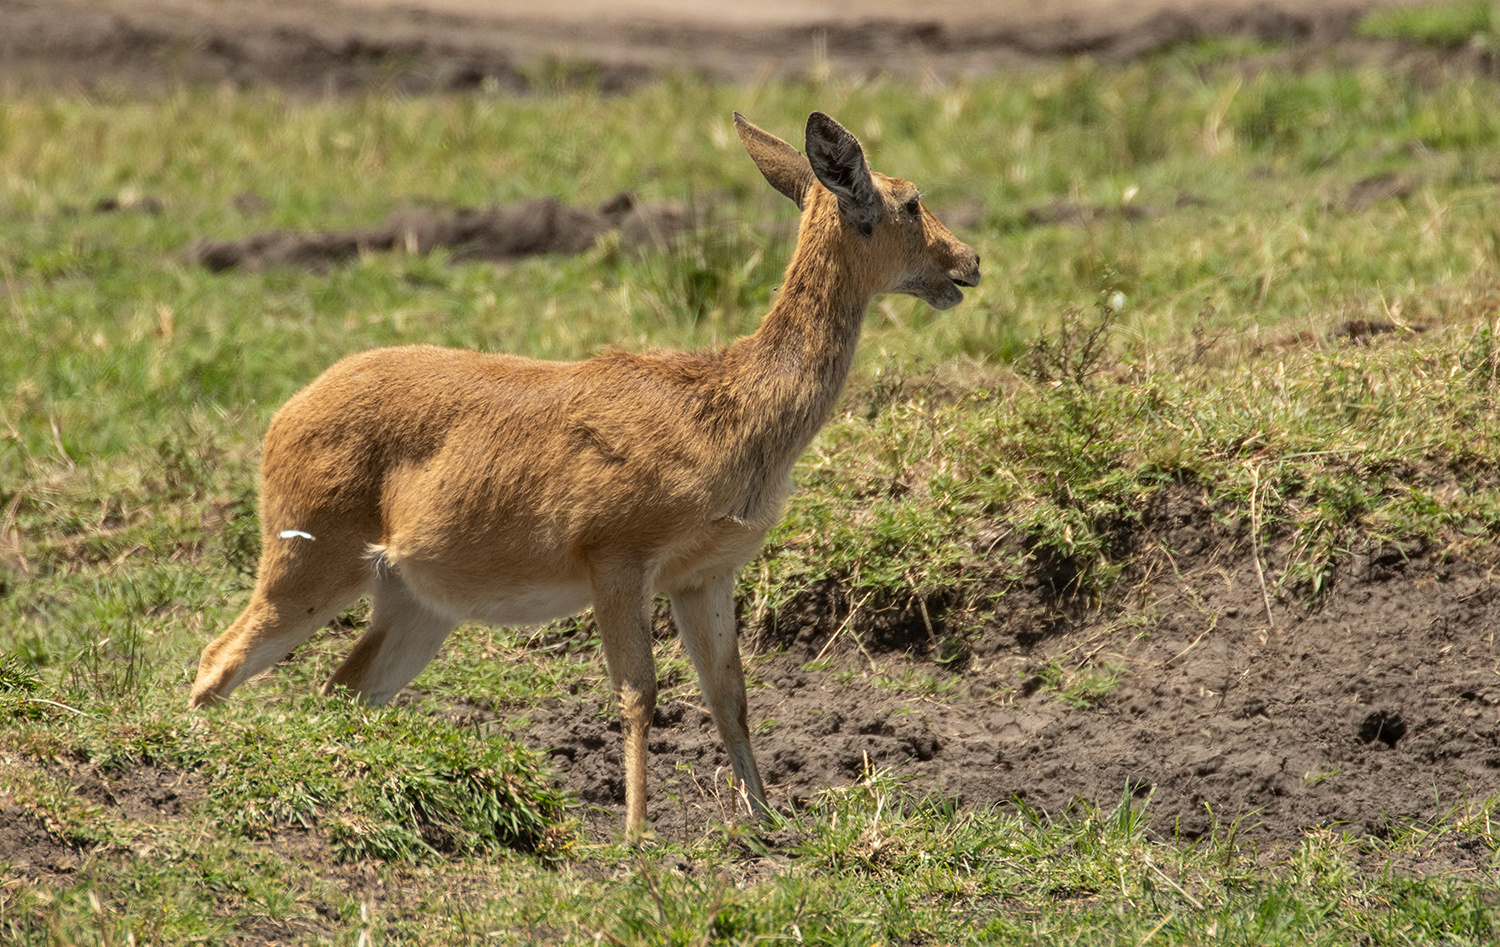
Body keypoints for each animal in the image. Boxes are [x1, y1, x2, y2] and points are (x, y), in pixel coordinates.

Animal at [187, 111, 978, 834]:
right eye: (909, 199)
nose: (968, 262)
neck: (729, 411)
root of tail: (283, 415)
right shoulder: (616, 555)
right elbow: (638, 691)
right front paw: (636, 835)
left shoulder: (706, 571)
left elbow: (730, 694)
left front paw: (768, 824)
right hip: (308, 561)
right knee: (217, 657)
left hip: (414, 603)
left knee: (340, 688)